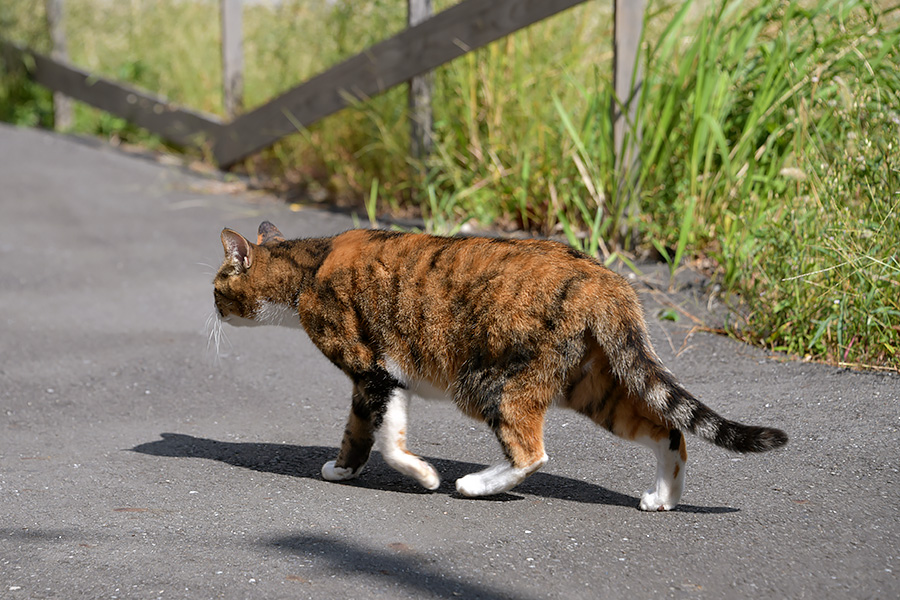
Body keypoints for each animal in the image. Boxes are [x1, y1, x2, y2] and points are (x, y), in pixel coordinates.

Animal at [213, 220, 788, 510]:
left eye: (217, 285)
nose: (212, 307)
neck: (307, 267)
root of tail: (605, 279)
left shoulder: (371, 369)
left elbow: (384, 438)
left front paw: (420, 476)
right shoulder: (379, 379)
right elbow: (370, 430)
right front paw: (350, 470)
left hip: (489, 382)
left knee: (532, 453)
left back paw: (475, 485)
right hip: (593, 385)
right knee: (668, 428)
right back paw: (663, 499)